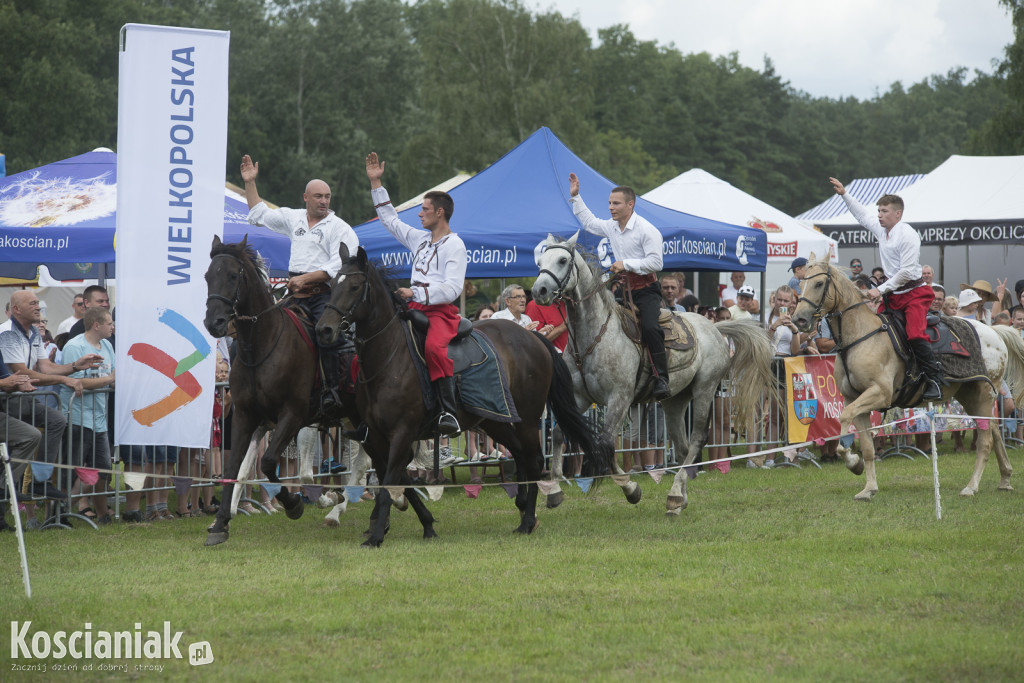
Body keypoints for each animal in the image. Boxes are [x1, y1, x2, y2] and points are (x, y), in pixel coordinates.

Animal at [200, 235, 360, 544]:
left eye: (233, 275)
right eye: (207, 276)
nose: (214, 323)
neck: (261, 347)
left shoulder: (294, 415)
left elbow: (270, 463)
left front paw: (295, 503)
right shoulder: (247, 417)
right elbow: (235, 468)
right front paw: (221, 522)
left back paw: (342, 508)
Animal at [315, 245, 610, 548]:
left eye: (354, 286)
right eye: (331, 285)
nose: (324, 329)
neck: (389, 358)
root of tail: (534, 337)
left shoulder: (401, 433)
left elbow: (389, 485)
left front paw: (375, 536)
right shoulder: (375, 437)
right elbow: (401, 482)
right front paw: (424, 524)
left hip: (527, 421)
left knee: (535, 460)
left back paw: (528, 519)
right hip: (496, 421)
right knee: (520, 455)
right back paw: (523, 507)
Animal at [532, 232, 778, 516]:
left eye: (562, 260)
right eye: (541, 260)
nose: (538, 291)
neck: (593, 337)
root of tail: (715, 327)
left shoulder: (620, 398)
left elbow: (605, 443)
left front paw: (631, 489)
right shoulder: (579, 397)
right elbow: (559, 434)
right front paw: (554, 489)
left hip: (705, 390)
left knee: (697, 440)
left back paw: (675, 495)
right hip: (675, 400)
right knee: (682, 448)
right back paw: (679, 497)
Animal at [790, 253, 1024, 499]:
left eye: (818, 283)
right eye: (801, 283)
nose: (799, 320)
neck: (860, 336)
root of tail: (994, 331)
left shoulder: (879, 394)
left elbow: (844, 421)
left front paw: (852, 461)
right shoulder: (854, 399)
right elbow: (867, 446)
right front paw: (867, 485)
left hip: (984, 394)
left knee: (986, 441)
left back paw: (972, 486)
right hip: (969, 396)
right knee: (994, 432)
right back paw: (1005, 478)